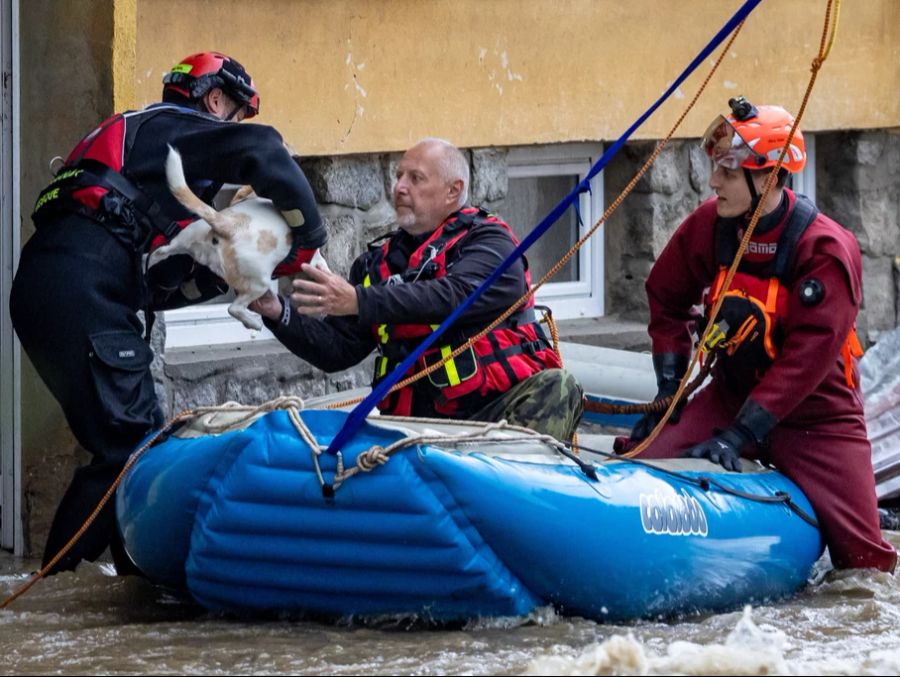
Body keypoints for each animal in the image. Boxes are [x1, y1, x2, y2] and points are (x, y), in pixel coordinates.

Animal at [149, 145, 326, 330]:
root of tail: (228, 225)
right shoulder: (315, 259)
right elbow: (323, 267)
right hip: (259, 283)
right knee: (234, 308)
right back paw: (253, 323)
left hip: (184, 239)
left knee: (161, 252)